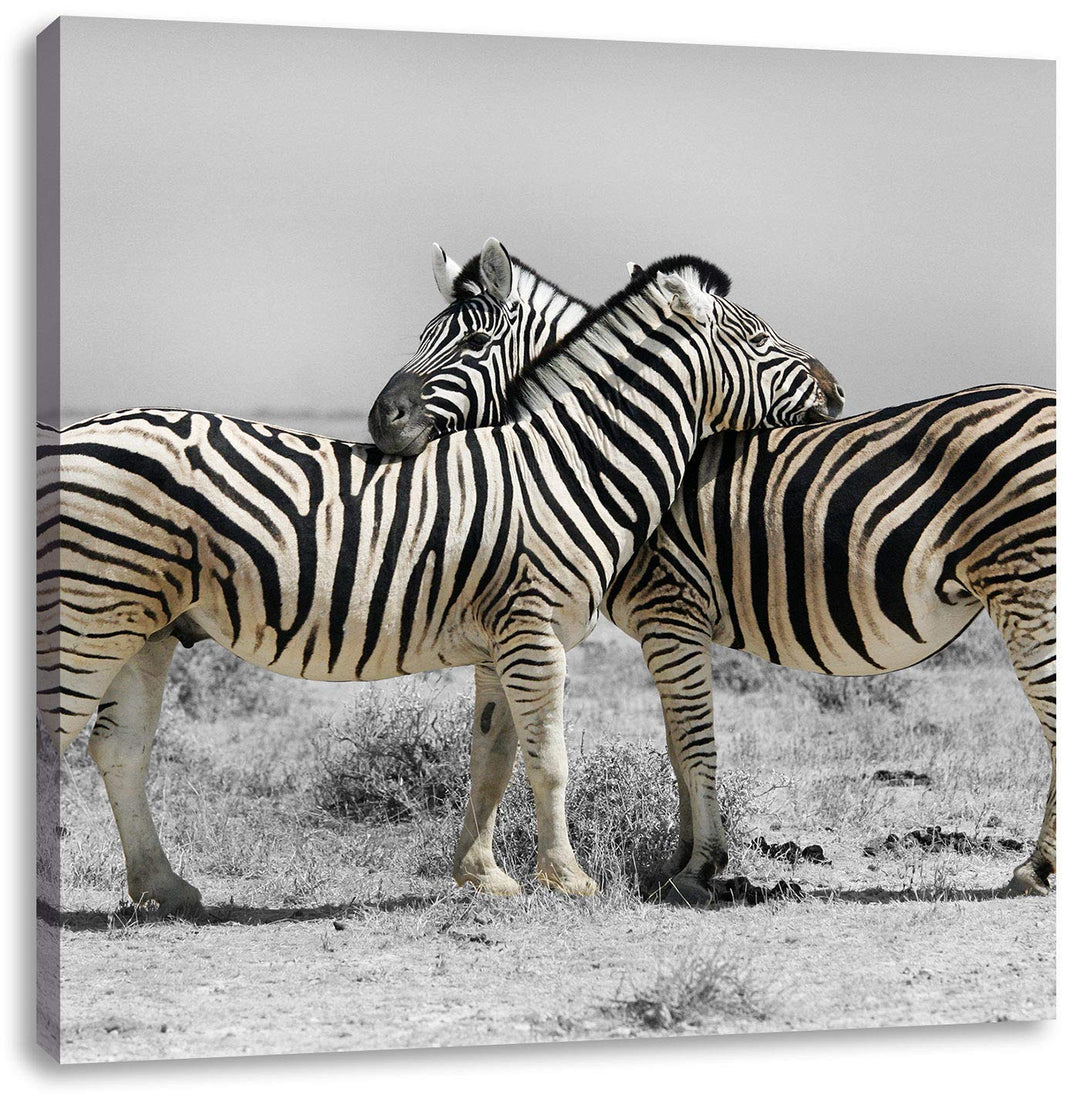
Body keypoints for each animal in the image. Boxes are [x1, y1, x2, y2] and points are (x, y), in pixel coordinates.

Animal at [36, 240, 836, 916]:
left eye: (473, 342)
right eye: (760, 340)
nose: (834, 391)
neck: (572, 463)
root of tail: (72, 434)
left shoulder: (500, 642)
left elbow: (493, 758)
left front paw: (484, 877)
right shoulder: (534, 632)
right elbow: (550, 761)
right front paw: (570, 879)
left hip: (146, 627)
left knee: (119, 750)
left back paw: (164, 888)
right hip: (88, 615)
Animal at [369, 247, 1055, 906]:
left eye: (471, 341)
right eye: (425, 335)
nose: (380, 421)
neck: (597, 453)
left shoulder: (671, 610)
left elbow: (694, 743)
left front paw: (700, 869)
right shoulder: (668, 627)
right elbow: (678, 747)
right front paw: (677, 864)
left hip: (1028, 589)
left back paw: (1037, 869)